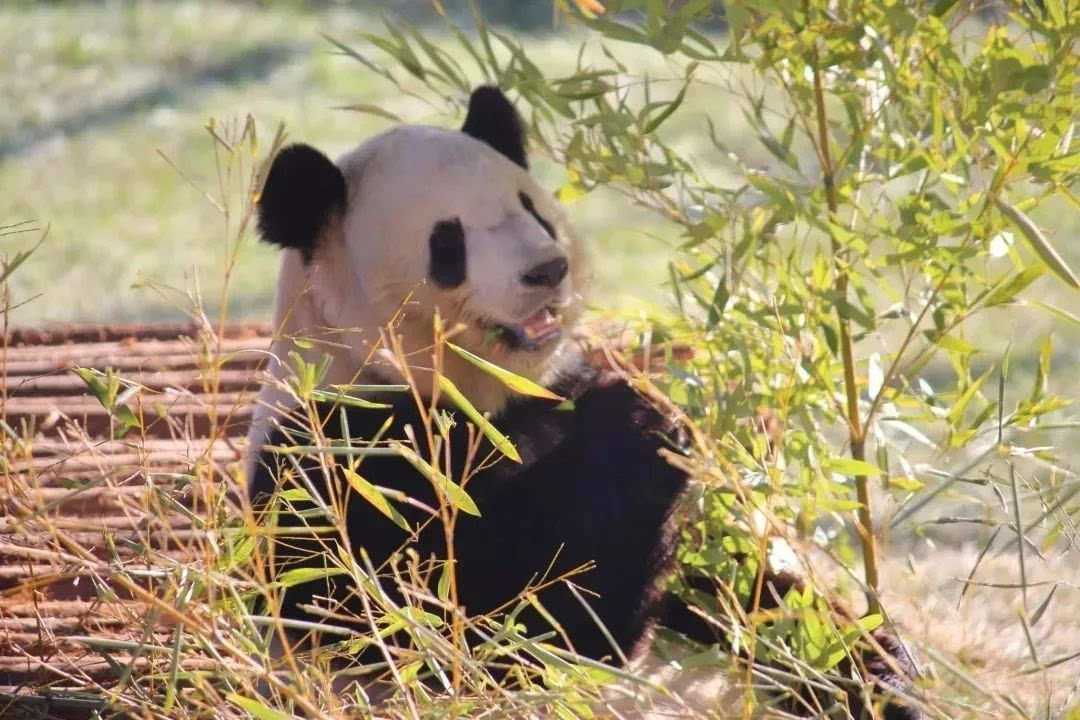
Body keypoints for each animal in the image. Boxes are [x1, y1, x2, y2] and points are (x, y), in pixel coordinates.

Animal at [245, 87, 920, 716]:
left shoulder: (553, 393)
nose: (548, 269)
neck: (475, 389)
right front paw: (641, 429)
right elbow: (499, 626)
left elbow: (759, 593)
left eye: (532, 210)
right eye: (448, 241)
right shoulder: (338, 460)